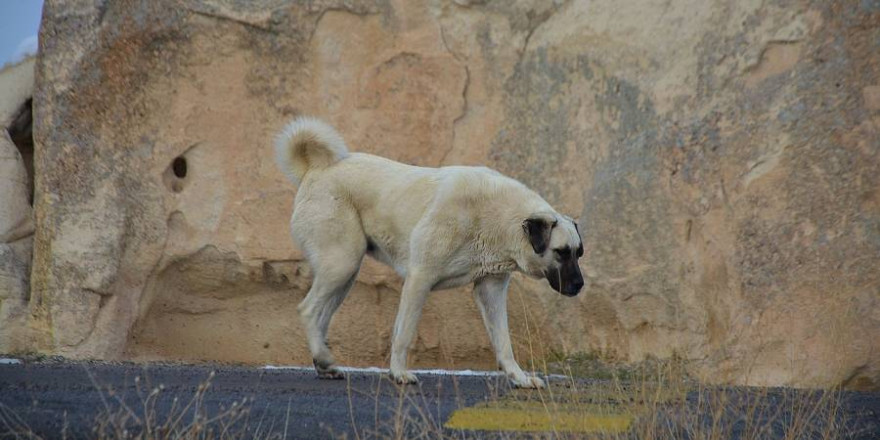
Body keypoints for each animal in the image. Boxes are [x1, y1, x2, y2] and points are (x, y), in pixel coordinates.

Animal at [272, 117, 580, 388]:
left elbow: (504, 343)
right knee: (308, 310)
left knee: (321, 316)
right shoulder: (419, 279)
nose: (579, 285)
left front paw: (520, 378)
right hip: (341, 263)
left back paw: (324, 363)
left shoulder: (490, 290)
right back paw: (323, 357)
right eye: (561, 252)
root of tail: (316, 170)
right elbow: (404, 333)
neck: (499, 216)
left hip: (345, 274)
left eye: (579, 253)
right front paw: (399, 374)